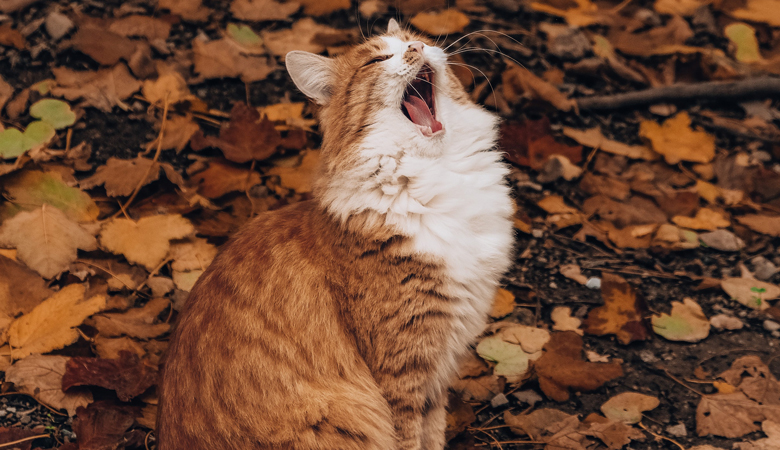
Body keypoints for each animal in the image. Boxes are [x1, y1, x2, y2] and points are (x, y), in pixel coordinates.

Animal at [156, 18, 516, 450]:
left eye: (418, 40)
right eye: (378, 59)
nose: (416, 48)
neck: (438, 176)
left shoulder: (438, 366)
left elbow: (433, 436)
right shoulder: (404, 369)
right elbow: (410, 439)